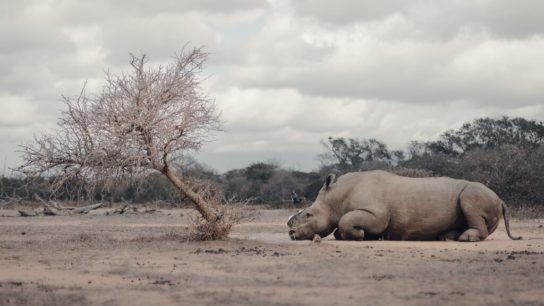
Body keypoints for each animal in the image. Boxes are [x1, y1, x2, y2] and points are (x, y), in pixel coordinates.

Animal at [286, 171, 520, 240]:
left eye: (308, 215)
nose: (291, 233)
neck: (336, 197)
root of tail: (501, 199)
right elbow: (339, 227)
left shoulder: (377, 214)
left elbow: (346, 220)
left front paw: (360, 235)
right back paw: (446, 237)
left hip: (477, 193)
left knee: (470, 200)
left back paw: (465, 239)